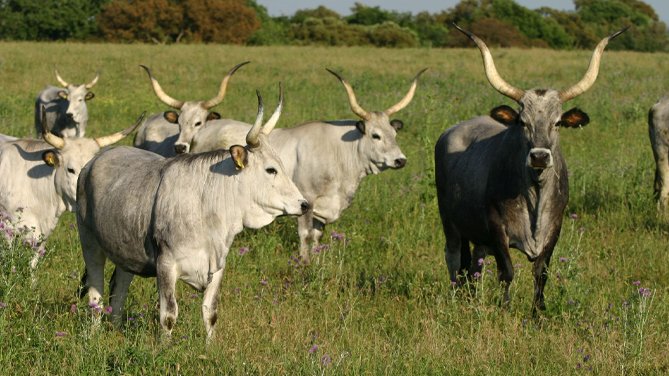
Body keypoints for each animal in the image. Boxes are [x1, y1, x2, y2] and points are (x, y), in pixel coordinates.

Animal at [76, 89, 308, 340]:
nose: (304, 204)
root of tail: (94, 161)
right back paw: (93, 334)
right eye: (270, 170)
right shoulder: (166, 266)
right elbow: (168, 315)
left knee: (118, 291)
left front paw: (210, 345)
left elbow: (210, 312)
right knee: (96, 295)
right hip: (90, 244)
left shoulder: (217, 266)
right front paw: (165, 346)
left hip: (125, 252)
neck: (206, 209)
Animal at [190, 68, 426, 262]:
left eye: (394, 133)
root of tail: (205, 129)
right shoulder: (307, 200)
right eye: (376, 135)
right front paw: (304, 263)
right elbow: (305, 234)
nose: (400, 160)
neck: (339, 153)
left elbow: (317, 236)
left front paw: (317, 259)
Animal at [436, 25, 624, 312]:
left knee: (475, 265)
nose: (539, 157)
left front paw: (538, 312)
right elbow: (507, 272)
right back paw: (457, 298)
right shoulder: (497, 227)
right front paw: (505, 308)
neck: (535, 193)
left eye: (557, 123)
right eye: (523, 122)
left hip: (477, 234)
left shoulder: (554, 228)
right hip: (450, 223)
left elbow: (541, 273)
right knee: (454, 260)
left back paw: (472, 298)